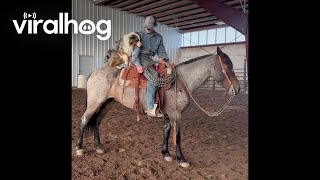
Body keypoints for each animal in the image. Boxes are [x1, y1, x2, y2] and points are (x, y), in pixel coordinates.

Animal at [75, 46, 240, 167]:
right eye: (227, 65)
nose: (237, 89)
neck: (181, 82)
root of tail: (94, 73)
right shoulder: (177, 115)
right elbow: (177, 136)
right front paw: (181, 159)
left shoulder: (168, 114)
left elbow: (166, 132)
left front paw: (166, 154)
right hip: (94, 103)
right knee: (84, 121)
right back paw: (79, 149)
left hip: (107, 103)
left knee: (96, 122)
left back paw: (99, 147)